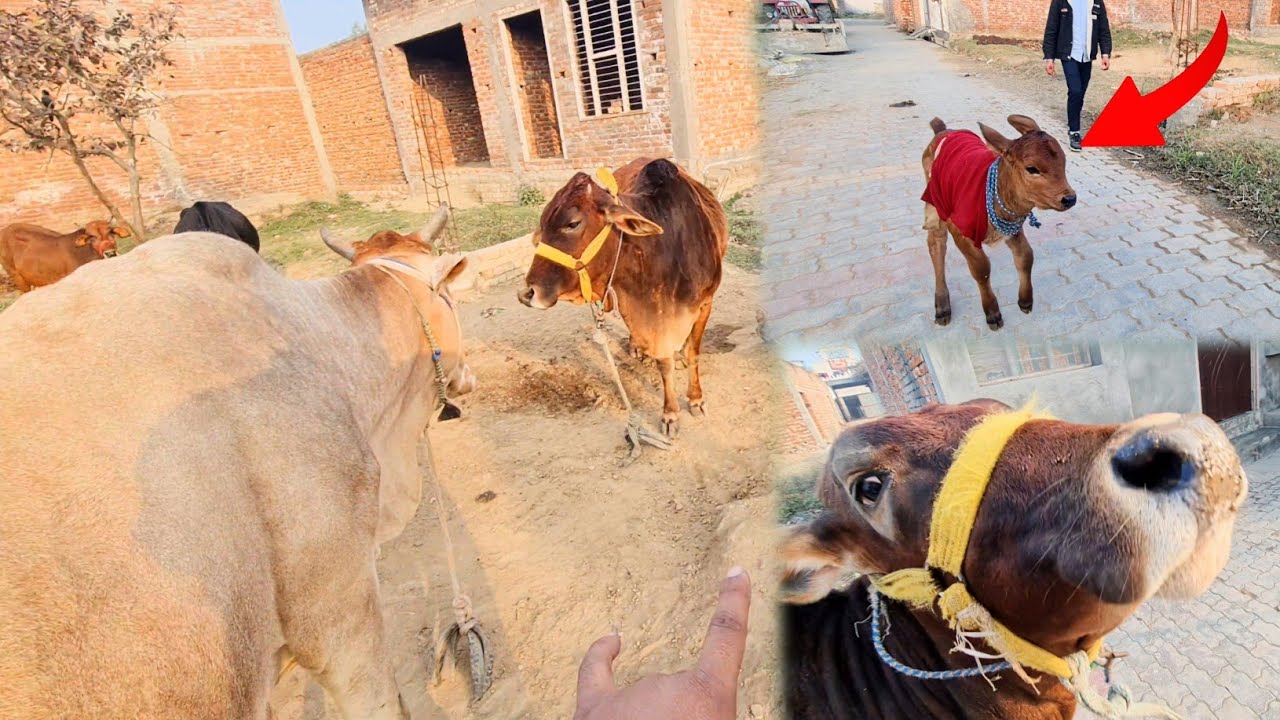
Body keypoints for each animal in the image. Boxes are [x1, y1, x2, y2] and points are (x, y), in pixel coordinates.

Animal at [518, 158, 728, 437]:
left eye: (572, 223)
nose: (527, 293)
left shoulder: (705, 303)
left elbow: (693, 353)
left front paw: (695, 399)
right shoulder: (638, 308)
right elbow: (664, 363)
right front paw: (670, 414)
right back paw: (636, 347)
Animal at [922, 115, 1075, 330]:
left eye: (1063, 161)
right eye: (1032, 169)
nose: (1070, 198)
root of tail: (943, 130)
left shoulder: (1012, 226)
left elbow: (1026, 257)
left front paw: (1025, 301)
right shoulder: (959, 229)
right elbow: (982, 269)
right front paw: (992, 313)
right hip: (935, 204)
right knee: (936, 245)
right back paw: (942, 305)